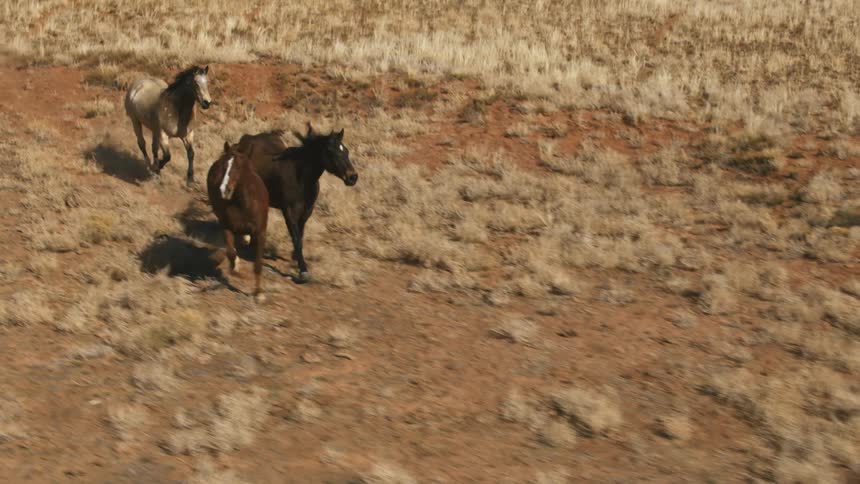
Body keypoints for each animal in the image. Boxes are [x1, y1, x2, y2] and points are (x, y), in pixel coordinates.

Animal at [206, 140, 269, 302]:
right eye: (223, 166)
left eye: (239, 167)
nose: (224, 190)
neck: (243, 204)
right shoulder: (227, 226)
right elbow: (231, 253)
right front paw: (237, 269)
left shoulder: (260, 233)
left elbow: (258, 263)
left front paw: (259, 294)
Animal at [235, 123, 358, 283]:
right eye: (331, 152)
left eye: (346, 151)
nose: (352, 177)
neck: (300, 177)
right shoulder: (289, 212)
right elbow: (296, 238)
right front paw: (303, 271)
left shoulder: (306, 211)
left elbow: (301, 235)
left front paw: (295, 258)